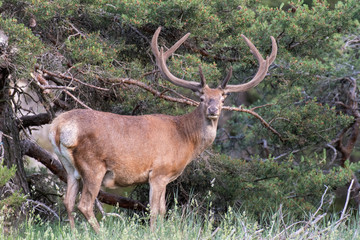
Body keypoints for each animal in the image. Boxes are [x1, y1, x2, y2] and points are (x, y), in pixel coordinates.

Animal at [48, 26, 278, 232]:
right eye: (201, 97)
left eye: (222, 98)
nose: (213, 110)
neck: (185, 138)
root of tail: (57, 128)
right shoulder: (159, 172)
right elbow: (155, 211)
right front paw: (153, 232)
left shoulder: (165, 178)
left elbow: (163, 210)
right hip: (93, 165)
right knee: (84, 205)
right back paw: (101, 233)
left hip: (69, 167)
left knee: (68, 201)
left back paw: (73, 232)